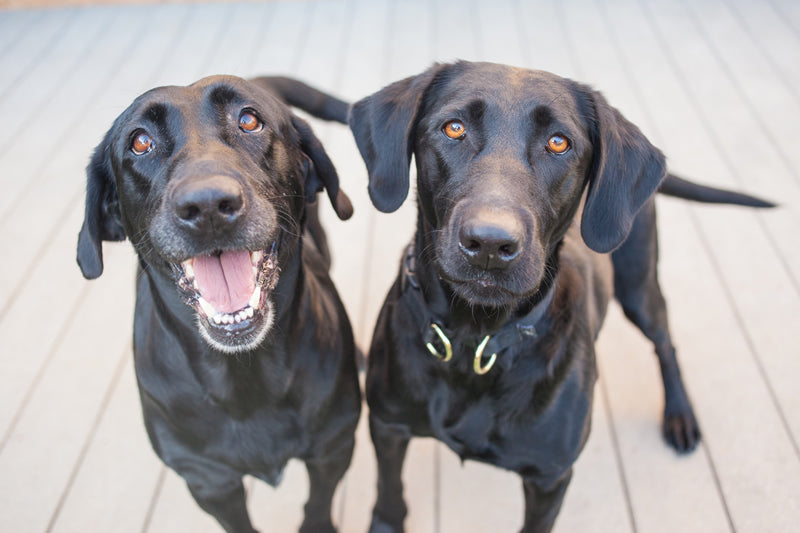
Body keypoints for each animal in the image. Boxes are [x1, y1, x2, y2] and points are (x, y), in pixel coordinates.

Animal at [77, 75, 360, 532]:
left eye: (249, 120)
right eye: (140, 142)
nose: (207, 204)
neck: (247, 377)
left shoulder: (333, 449)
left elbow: (316, 506)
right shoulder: (210, 483)